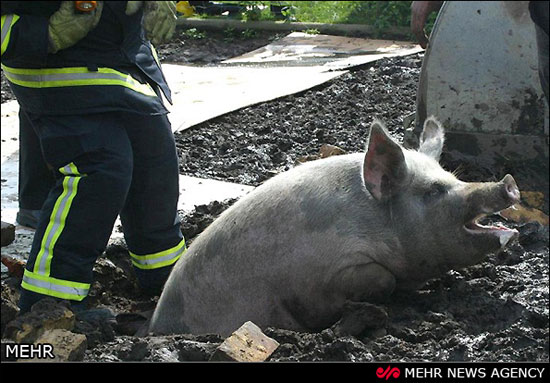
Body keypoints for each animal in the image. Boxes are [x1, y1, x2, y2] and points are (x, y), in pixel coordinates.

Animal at [148, 116, 520, 336]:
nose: (508, 183)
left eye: (454, 178)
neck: (375, 223)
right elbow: (383, 280)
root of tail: (153, 327)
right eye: (433, 191)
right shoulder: (330, 273)